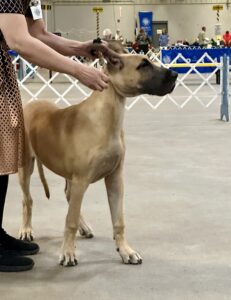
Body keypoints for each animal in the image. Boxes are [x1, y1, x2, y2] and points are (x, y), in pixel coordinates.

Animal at [18, 41, 177, 264]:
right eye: (143, 65)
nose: (175, 74)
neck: (108, 116)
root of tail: (30, 105)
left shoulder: (114, 178)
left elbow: (118, 220)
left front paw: (125, 250)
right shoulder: (81, 179)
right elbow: (70, 220)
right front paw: (68, 252)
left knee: (68, 196)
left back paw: (84, 227)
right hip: (25, 167)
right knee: (28, 200)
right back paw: (26, 230)